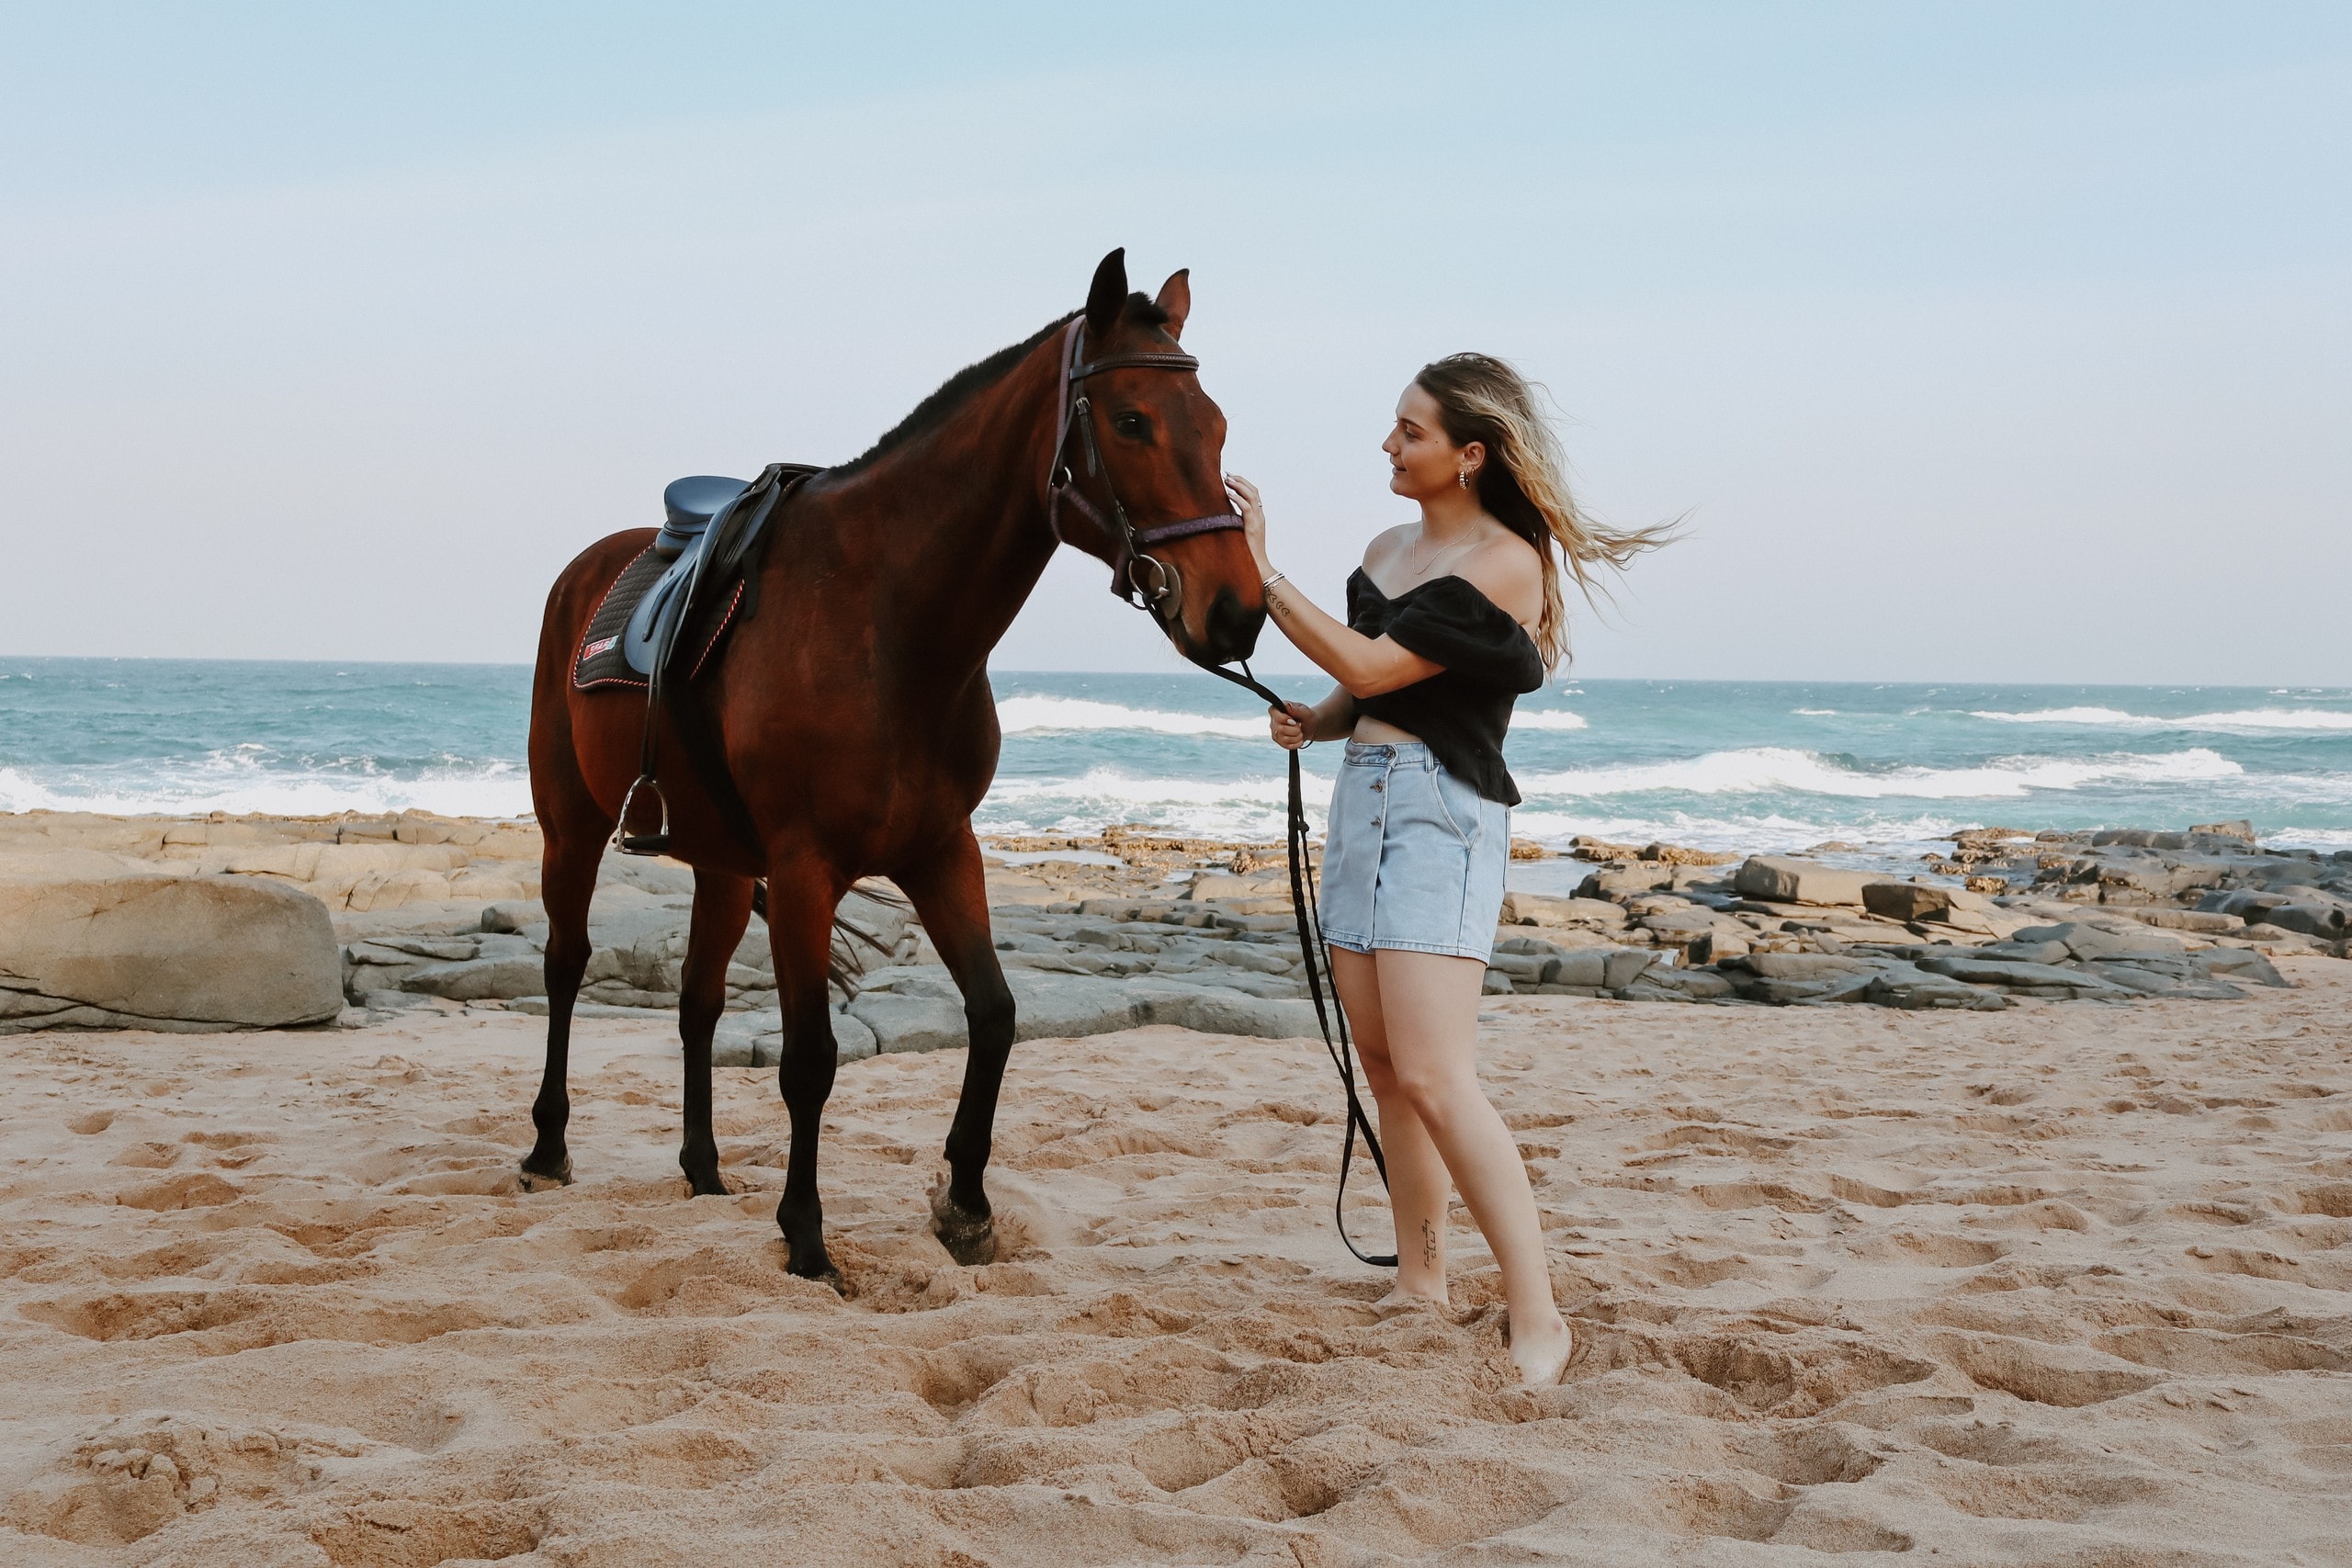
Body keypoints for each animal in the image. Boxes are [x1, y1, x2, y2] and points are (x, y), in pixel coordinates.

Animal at [520, 250, 1267, 1285]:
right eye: (1129, 421)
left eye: (1218, 424)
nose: (1239, 612)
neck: (887, 619)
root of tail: (589, 568)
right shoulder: (806, 870)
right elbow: (810, 1059)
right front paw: (805, 1237)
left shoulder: (942, 850)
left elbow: (995, 1014)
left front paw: (967, 1204)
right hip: (574, 827)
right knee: (564, 967)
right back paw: (548, 1147)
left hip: (721, 864)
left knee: (698, 1002)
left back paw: (703, 1169)